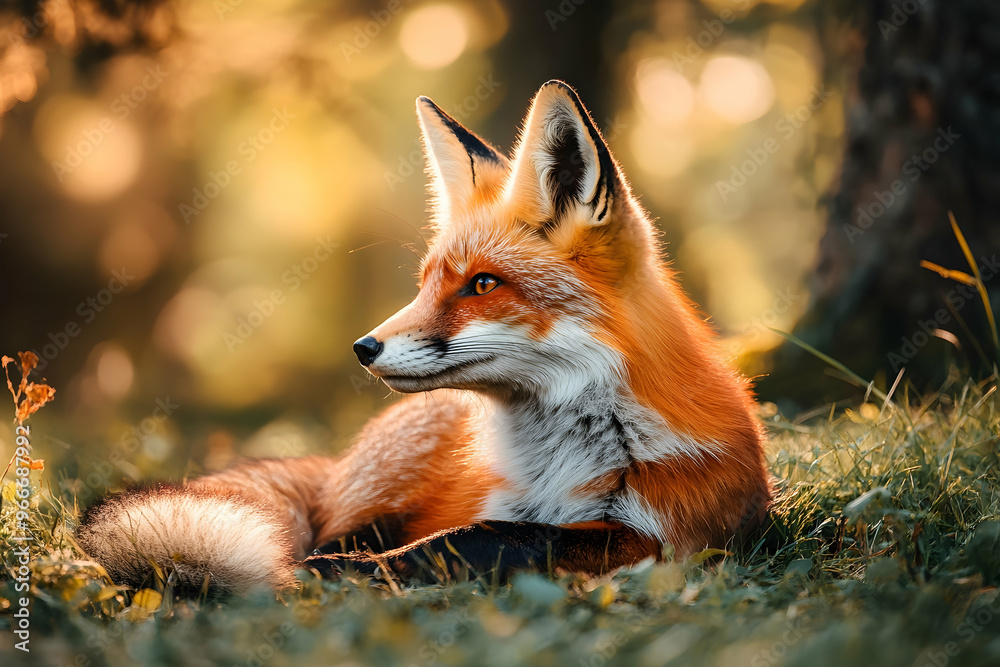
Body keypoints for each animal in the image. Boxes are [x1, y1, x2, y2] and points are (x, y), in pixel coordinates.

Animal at [76, 81, 772, 595]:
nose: (363, 348)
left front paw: (357, 576)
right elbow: (463, 534)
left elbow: (489, 538)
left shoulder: (657, 537)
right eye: (427, 284)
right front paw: (344, 571)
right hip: (380, 495)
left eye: (483, 284)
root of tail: (338, 461)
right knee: (325, 529)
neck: (554, 465)